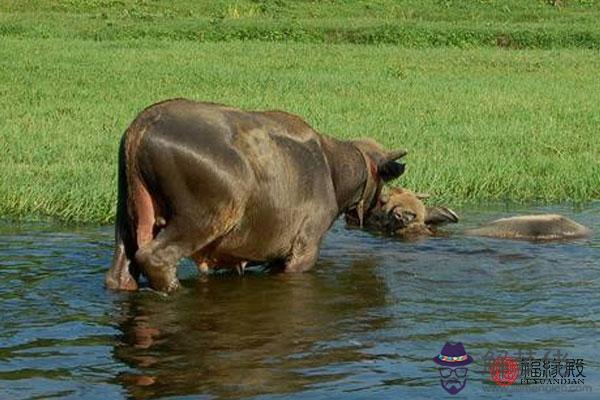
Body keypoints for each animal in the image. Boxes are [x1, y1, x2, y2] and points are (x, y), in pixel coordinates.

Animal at [106, 98, 408, 292]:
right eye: (383, 188)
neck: (339, 177)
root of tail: (140, 127)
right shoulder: (305, 244)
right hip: (204, 216)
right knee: (155, 258)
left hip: (126, 215)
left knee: (120, 273)